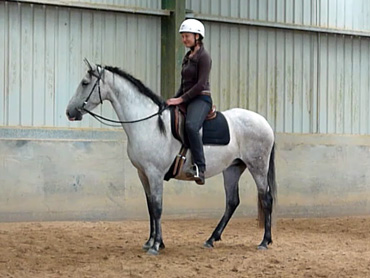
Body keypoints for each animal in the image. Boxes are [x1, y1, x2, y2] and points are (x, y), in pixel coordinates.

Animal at [66, 62, 278, 255]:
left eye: (85, 83)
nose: (69, 112)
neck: (149, 123)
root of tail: (265, 122)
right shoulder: (143, 173)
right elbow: (150, 207)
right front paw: (151, 242)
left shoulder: (155, 173)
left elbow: (158, 207)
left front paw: (156, 245)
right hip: (233, 168)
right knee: (232, 201)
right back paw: (211, 239)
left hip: (258, 167)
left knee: (266, 198)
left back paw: (264, 241)